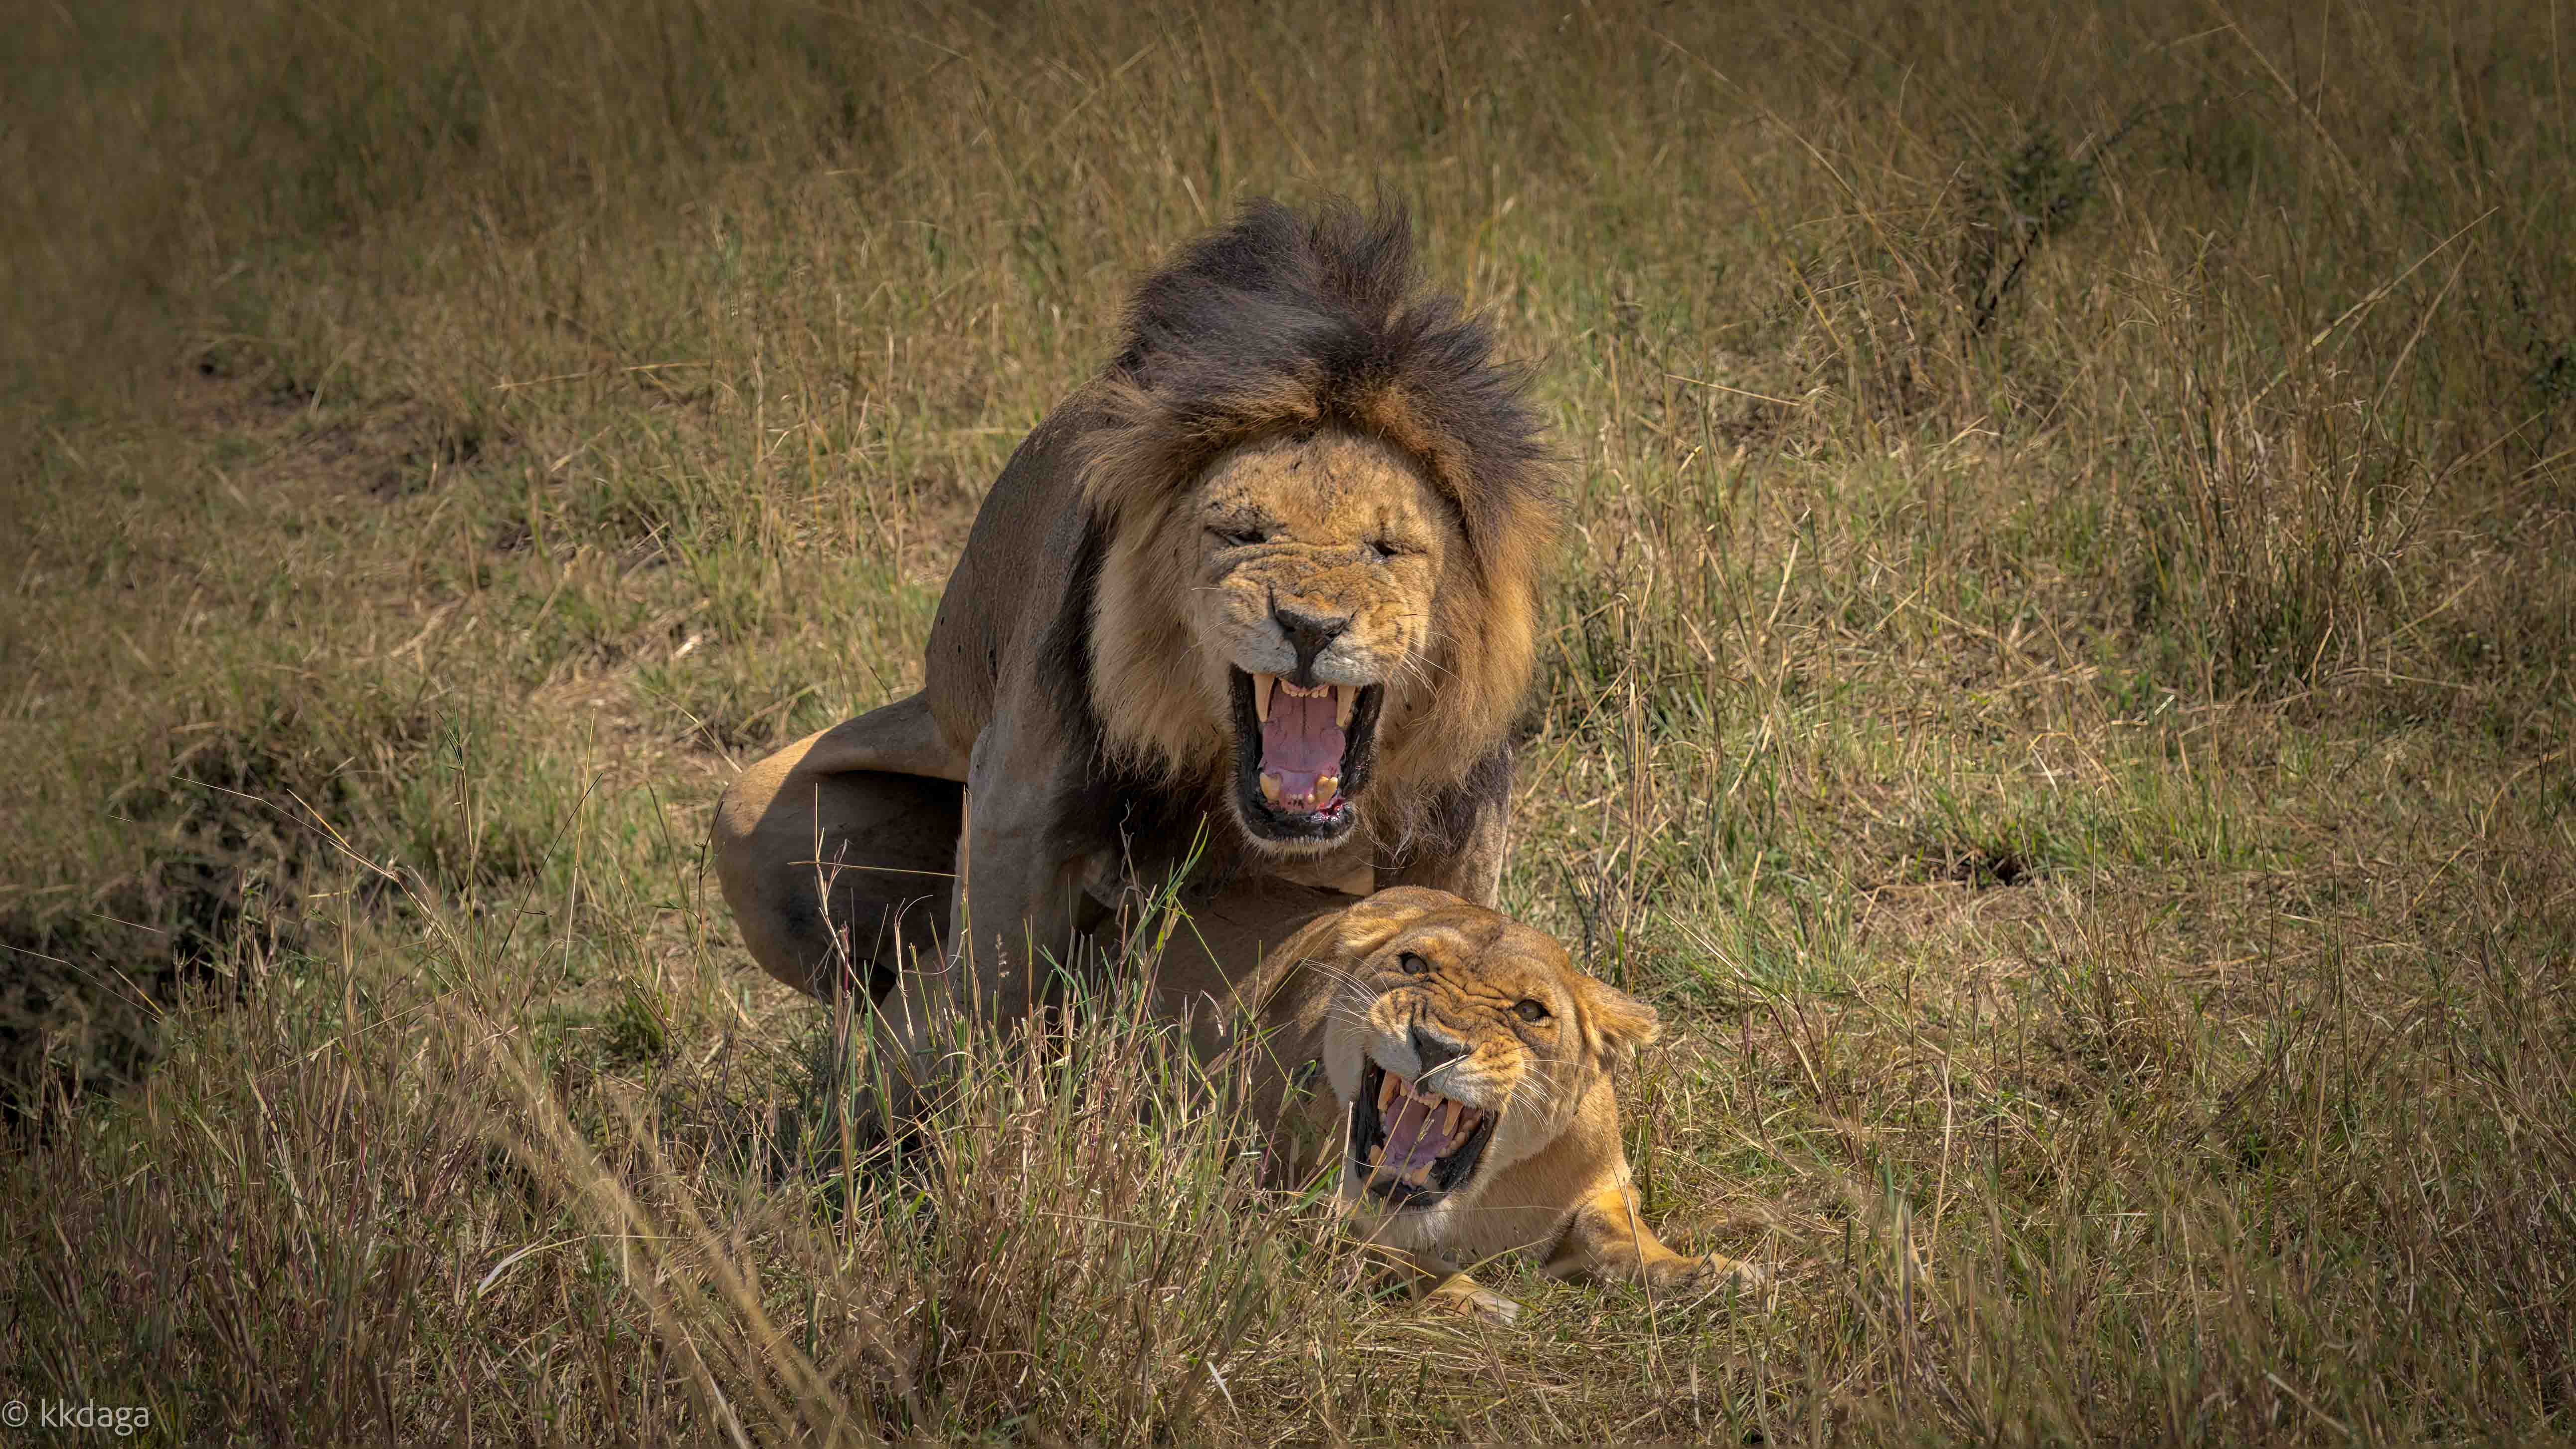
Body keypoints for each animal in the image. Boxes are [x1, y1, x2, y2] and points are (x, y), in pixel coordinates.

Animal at [711, 199, 1546, 1062]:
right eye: (1240, 534)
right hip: (747, 814)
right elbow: (986, 994)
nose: (1310, 627)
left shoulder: (1459, 821)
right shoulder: (1020, 791)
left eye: (1386, 548)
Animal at [1138, 882, 1762, 1320]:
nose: (1436, 1044)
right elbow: (1382, 1252)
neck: (1470, 1203)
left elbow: (1619, 1233)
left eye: (1530, 1010)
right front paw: (1476, 1301)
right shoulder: (1275, 1196)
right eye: (1413, 964)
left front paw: (1707, 1277)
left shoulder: (1602, 1181)